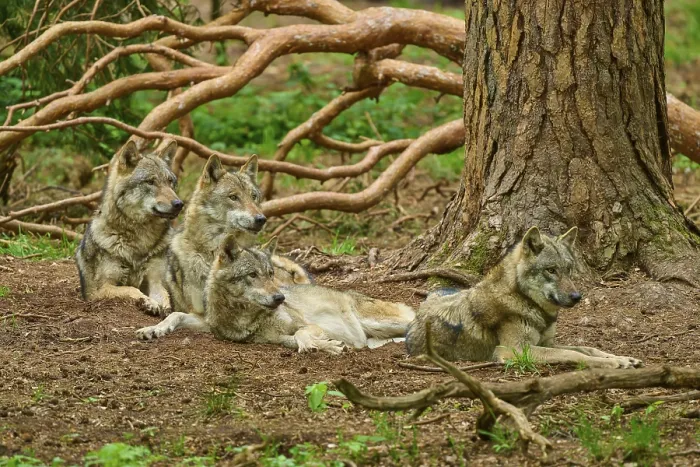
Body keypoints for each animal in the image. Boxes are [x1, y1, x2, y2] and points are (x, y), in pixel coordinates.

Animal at [75, 139, 182, 315]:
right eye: (150, 182)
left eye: (170, 182)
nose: (179, 204)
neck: (140, 239)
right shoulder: (100, 289)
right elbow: (131, 289)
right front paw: (148, 302)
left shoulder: (155, 280)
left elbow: (164, 296)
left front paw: (164, 308)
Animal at [138, 235, 414, 351]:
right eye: (252, 275)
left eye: (271, 274)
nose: (280, 298)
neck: (244, 318)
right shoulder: (212, 325)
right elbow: (175, 315)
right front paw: (152, 329)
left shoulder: (307, 324)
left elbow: (303, 334)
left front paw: (323, 344)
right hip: (379, 335)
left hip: (380, 321)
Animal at [405, 226, 643, 369]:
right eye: (551, 270)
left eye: (568, 269)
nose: (577, 296)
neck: (527, 303)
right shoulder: (514, 351)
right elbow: (574, 354)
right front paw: (612, 365)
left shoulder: (548, 342)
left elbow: (587, 348)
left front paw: (622, 358)